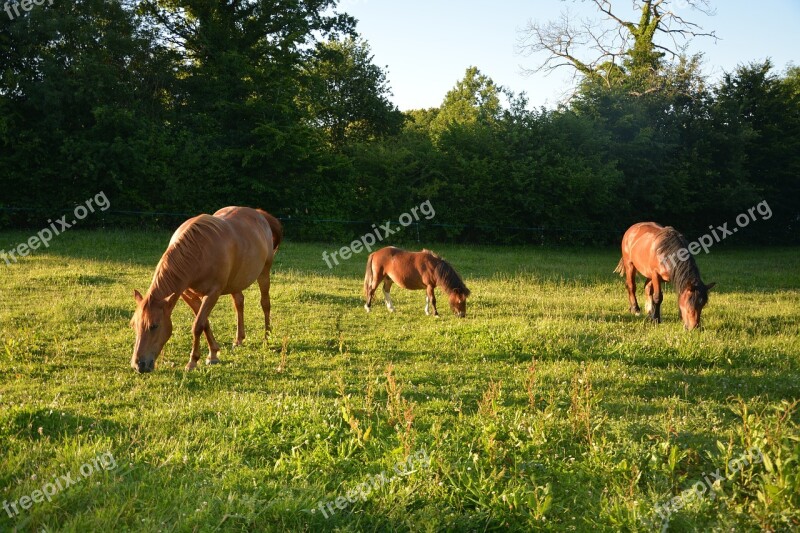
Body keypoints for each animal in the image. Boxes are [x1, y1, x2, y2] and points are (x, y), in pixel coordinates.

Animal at [130, 206, 282, 372]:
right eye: (134, 325)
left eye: (154, 326)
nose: (139, 365)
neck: (198, 252)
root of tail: (258, 213)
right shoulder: (187, 294)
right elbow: (204, 322)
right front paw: (213, 354)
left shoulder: (212, 294)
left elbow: (198, 325)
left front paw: (193, 361)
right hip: (235, 282)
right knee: (239, 303)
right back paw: (239, 339)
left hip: (264, 273)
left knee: (265, 304)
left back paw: (267, 337)